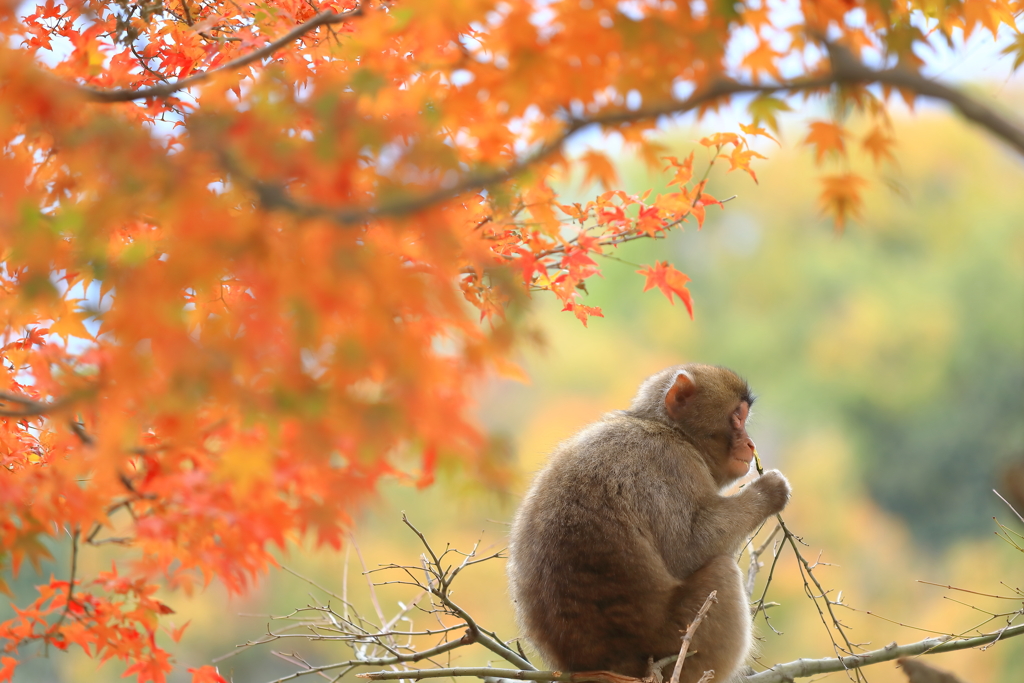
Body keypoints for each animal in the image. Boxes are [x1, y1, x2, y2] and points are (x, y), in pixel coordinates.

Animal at [507, 366, 786, 679]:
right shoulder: (672, 462)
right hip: (676, 641)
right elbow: (689, 550)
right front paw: (769, 491)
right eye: (737, 417)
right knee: (722, 571)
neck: (671, 430)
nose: (750, 443)